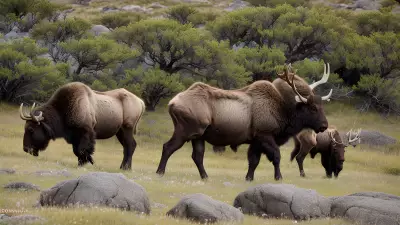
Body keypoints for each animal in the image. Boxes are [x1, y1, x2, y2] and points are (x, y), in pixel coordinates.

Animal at [156, 62, 334, 181]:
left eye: (321, 105)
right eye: (312, 108)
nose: (324, 126)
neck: (283, 110)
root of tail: (171, 103)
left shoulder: (255, 140)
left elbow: (253, 161)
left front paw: (249, 177)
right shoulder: (265, 135)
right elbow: (276, 156)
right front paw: (278, 177)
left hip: (198, 136)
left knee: (197, 156)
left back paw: (205, 176)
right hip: (186, 131)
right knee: (167, 147)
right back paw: (160, 171)